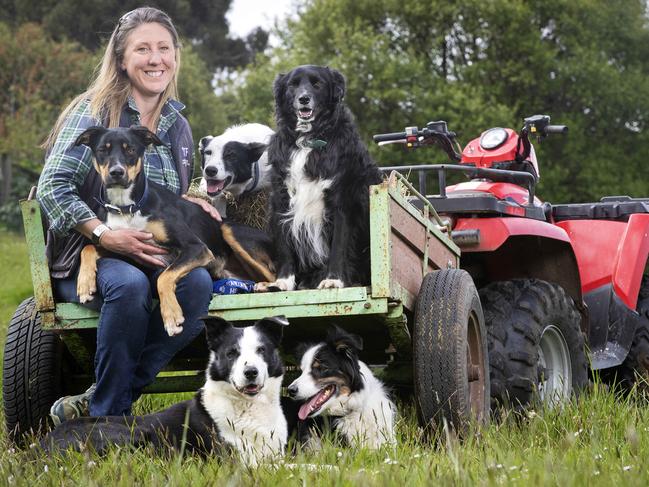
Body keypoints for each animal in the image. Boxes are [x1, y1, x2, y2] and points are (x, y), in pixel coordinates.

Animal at [43, 314, 288, 468]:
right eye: (231, 353)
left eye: (261, 350)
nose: (251, 372)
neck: (248, 407)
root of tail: (41, 447)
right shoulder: (236, 461)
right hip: (133, 433)